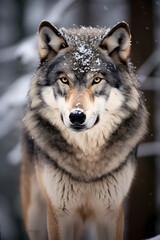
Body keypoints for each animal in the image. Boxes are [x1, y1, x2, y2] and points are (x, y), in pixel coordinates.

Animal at [20, 20, 148, 240]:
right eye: (64, 80)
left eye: (96, 80)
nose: (77, 116)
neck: (87, 160)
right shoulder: (58, 211)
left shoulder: (112, 211)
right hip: (35, 213)